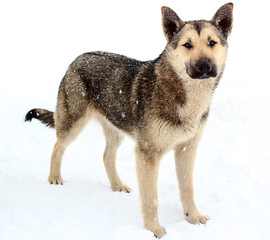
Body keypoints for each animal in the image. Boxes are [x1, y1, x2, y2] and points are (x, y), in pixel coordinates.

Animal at [24, 2, 232, 237]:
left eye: (212, 43)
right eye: (187, 45)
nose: (205, 66)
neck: (186, 96)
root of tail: (77, 58)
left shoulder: (187, 149)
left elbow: (187, 189)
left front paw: (193, 218)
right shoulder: (147, 154)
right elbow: (151, 199)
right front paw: (154, 230)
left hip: (116, 130)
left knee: (106, 157)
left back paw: (117, 186)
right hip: (73, 124)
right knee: (57, 146)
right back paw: (55, 177)